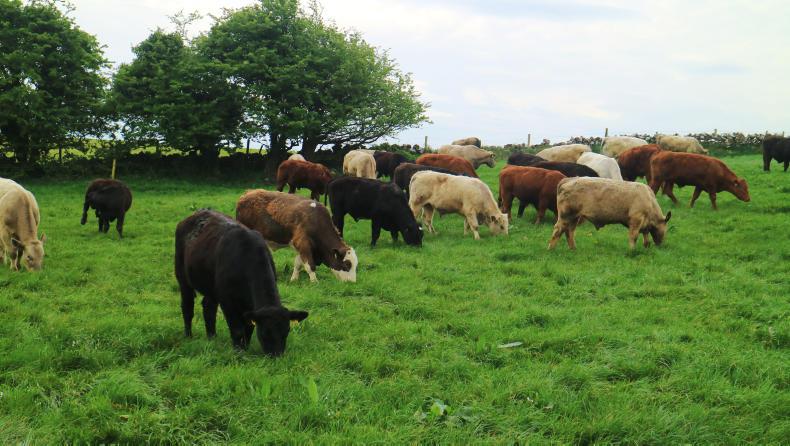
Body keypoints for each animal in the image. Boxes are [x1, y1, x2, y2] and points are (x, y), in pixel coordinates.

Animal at [174, 209, 308, 356]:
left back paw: (212, 337)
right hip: (182, 278)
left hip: (211, 287)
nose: (276, 355)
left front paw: (245, 347)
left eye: (287, 330)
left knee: (208, 307)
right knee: (187, 307)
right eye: (265, 332)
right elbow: (237, 329)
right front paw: (238, 351)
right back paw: (189, 336)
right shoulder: (227, 302)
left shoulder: (249, 306)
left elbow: (248, 328)